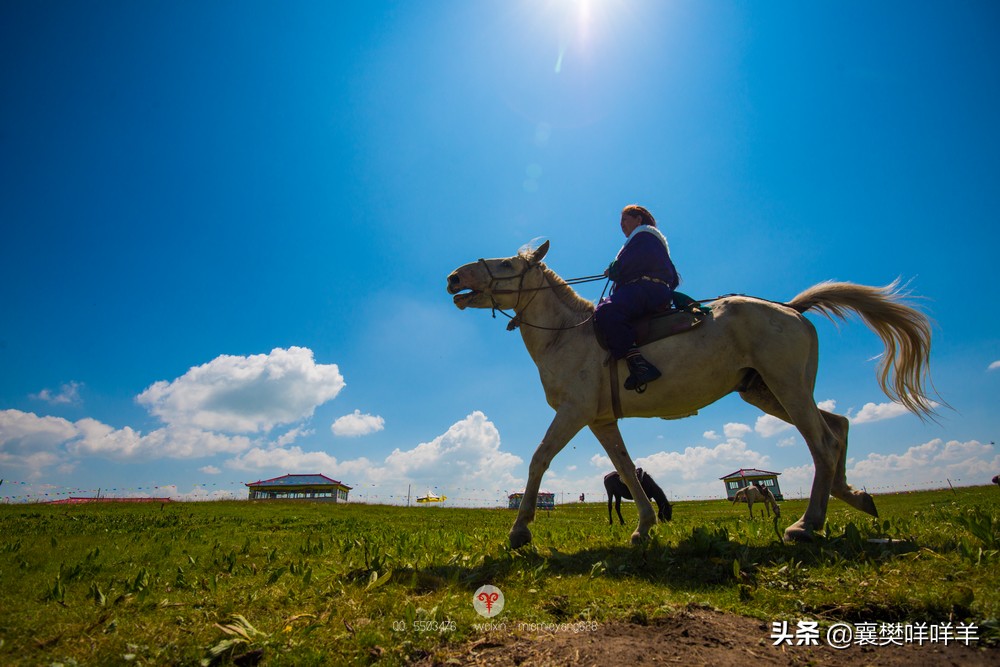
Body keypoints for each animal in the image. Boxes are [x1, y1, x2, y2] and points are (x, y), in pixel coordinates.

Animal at [446, 241, 936, 547]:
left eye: (506, 266)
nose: (453, 277)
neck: (568, 335)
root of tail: (790, 308)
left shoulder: (573, 412)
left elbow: (539, 459)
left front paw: (519, 531)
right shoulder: (601, 420)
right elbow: (625, 469)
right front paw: (644, 527)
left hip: (786, 386)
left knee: (823, 442)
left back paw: (807, 524)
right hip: (766, 392)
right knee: (838, 425)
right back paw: (853, 496)